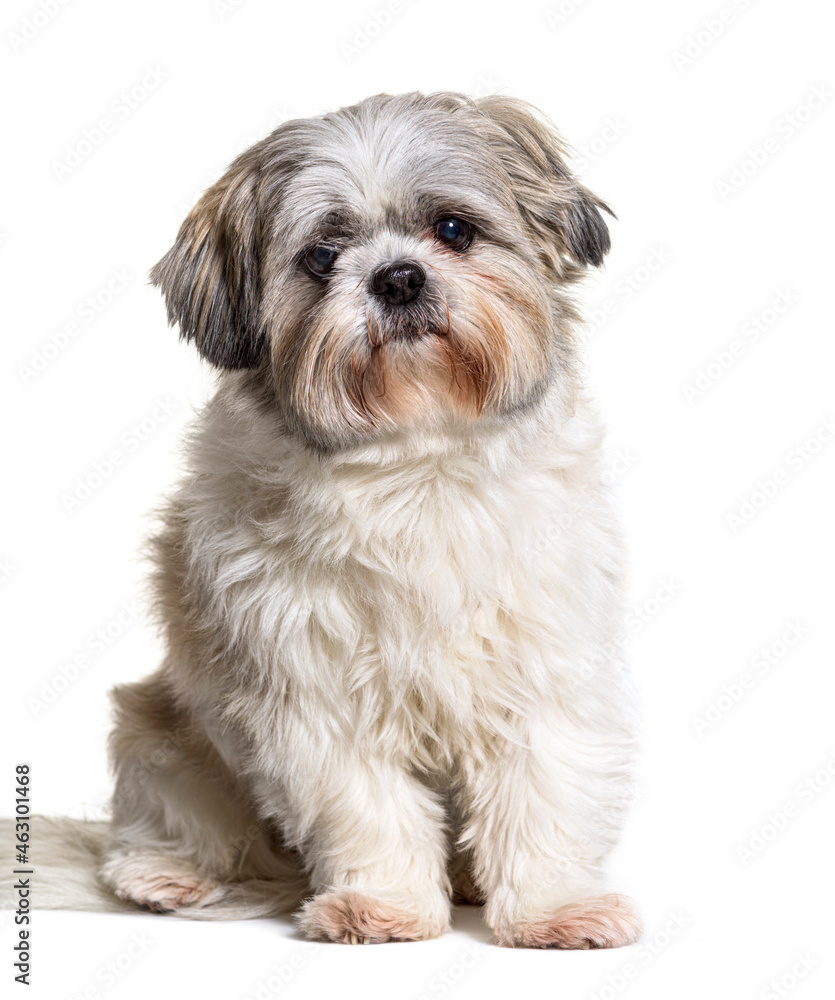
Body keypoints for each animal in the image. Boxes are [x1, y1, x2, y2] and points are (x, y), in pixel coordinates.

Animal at [42, 92, 644, 944]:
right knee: (173, 824)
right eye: (322, 257)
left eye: (453, 230)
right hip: (159, 738)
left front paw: (552, 907)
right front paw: (383, 906)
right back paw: (166, 873)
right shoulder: (315, 693)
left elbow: (543, 794)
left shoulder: (541, 670)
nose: (396, 277)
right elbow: (367, 807)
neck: (415, 462)